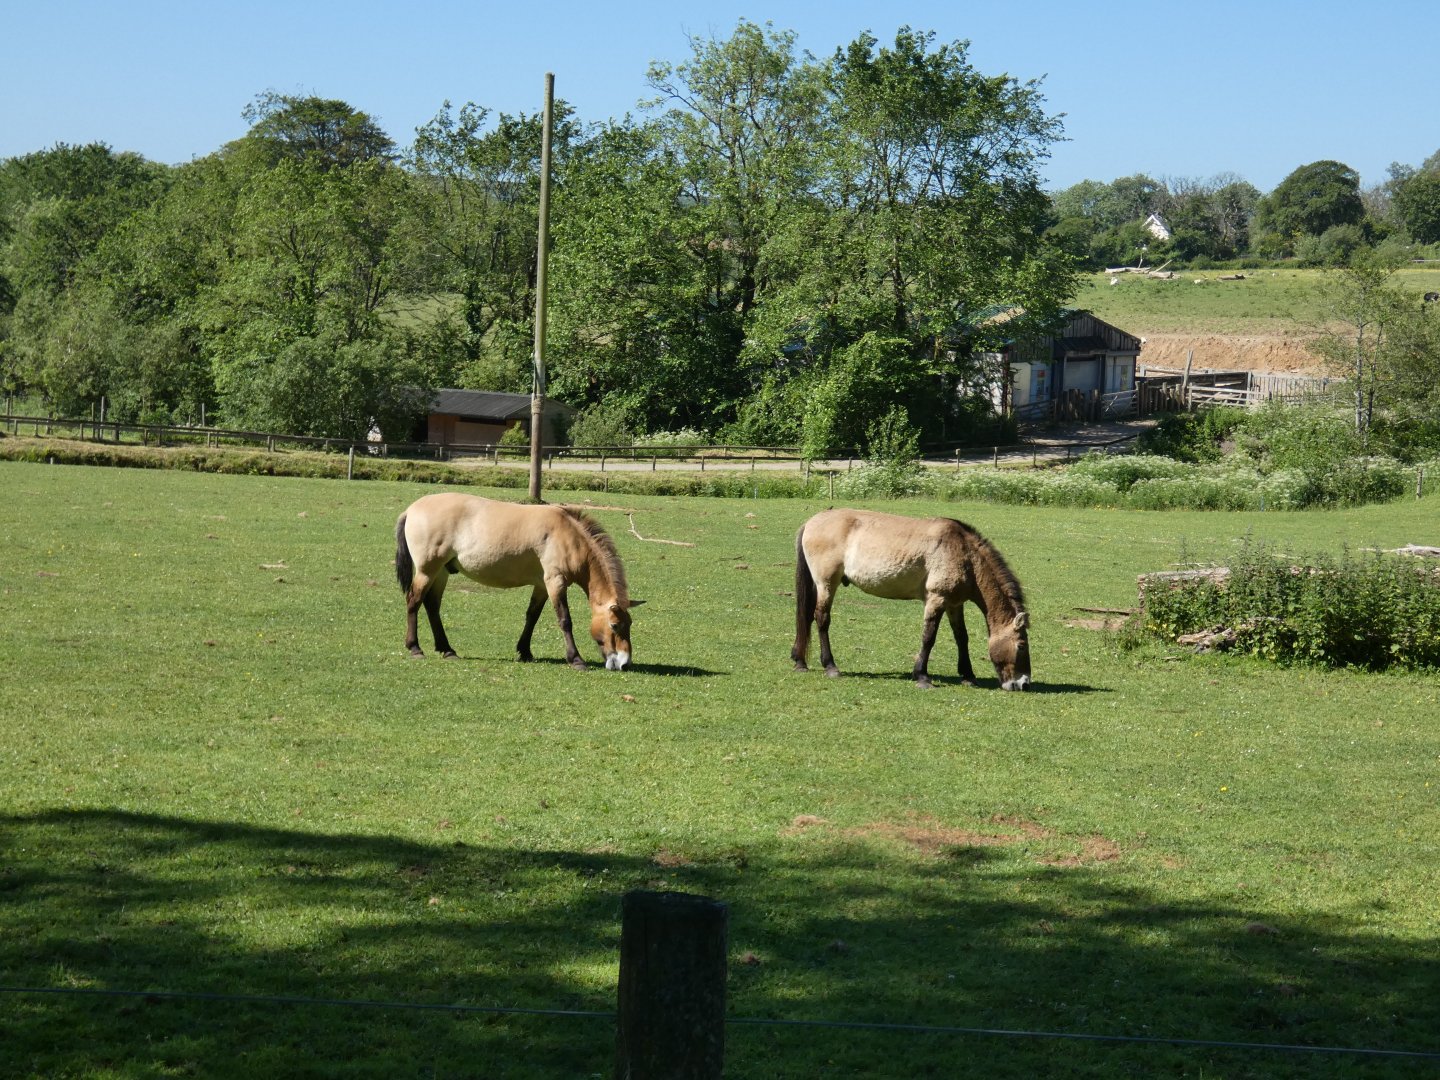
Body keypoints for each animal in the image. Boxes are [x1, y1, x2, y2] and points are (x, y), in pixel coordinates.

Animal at [395, 493, 640, 671]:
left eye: (629, 625)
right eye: (615, 625)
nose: (625, 663)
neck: (569, 537)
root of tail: (411, 509)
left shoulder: (542, 585)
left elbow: (532, 616)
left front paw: (525, 651)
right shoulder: (555, 581)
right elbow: (564, 620)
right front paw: (576, 659)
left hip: (442, 572)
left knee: (432, 605)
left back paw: (447, 649)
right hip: (427, 571)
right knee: (414, 601)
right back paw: (415, 648)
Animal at [792, 508, 1031, 690]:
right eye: (1021, 646)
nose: (1024, 683)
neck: (965, 554)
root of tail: (811, 522)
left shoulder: (955, 604)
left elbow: (961, 637)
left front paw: (968, 676)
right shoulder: (936, 600)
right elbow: (928, 637)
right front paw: (922, 676)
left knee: (807, 617)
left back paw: (800, 661)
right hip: (826, 584)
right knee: (822, 619)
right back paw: (830, 666)